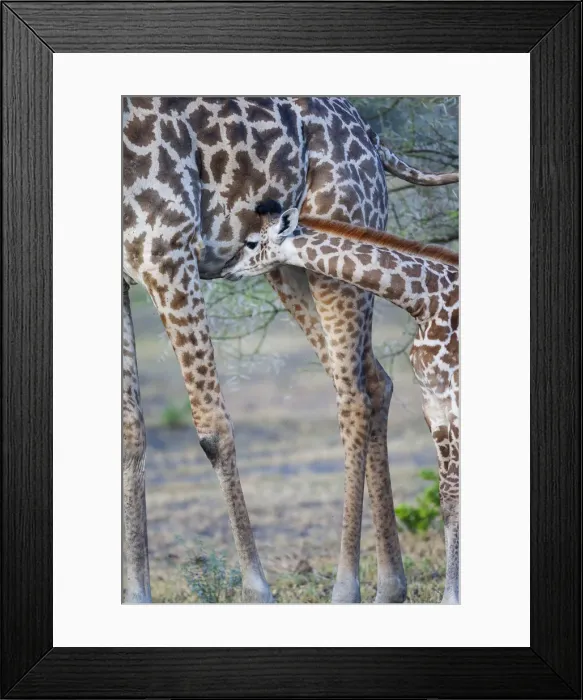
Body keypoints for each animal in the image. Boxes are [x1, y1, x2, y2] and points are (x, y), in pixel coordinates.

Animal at [222, 202, 460, 604]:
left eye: (252, 242)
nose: (225, 268)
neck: (426, 300)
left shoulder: (454, 398)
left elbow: (455, 496)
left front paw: (452, 598)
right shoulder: (434, 404)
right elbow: (447, 498)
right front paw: (451, 598)